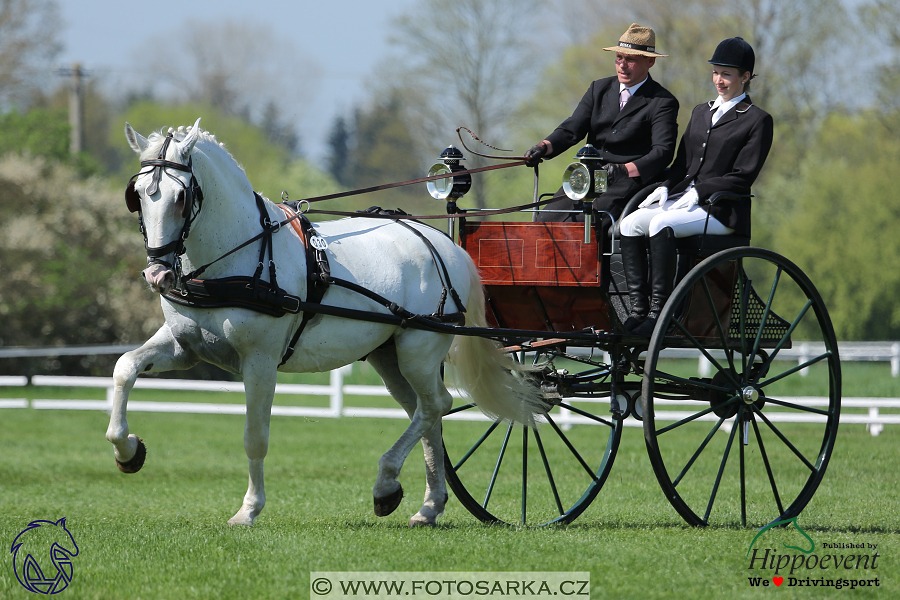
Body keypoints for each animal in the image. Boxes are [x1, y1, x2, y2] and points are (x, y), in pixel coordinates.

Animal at [105, 119, 540, 528]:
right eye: (138, 195)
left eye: (181, 196)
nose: (157, 273)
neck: (235, 256)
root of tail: (443, 244)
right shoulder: (186, 349)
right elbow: (125, 368)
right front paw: (128, 450)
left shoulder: (260, 362)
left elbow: (255, 437)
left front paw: (249, 510)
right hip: (391, 358)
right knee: (428, 412)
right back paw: (428, 505)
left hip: (418, 349)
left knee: (436, 405)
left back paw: (387, 483)